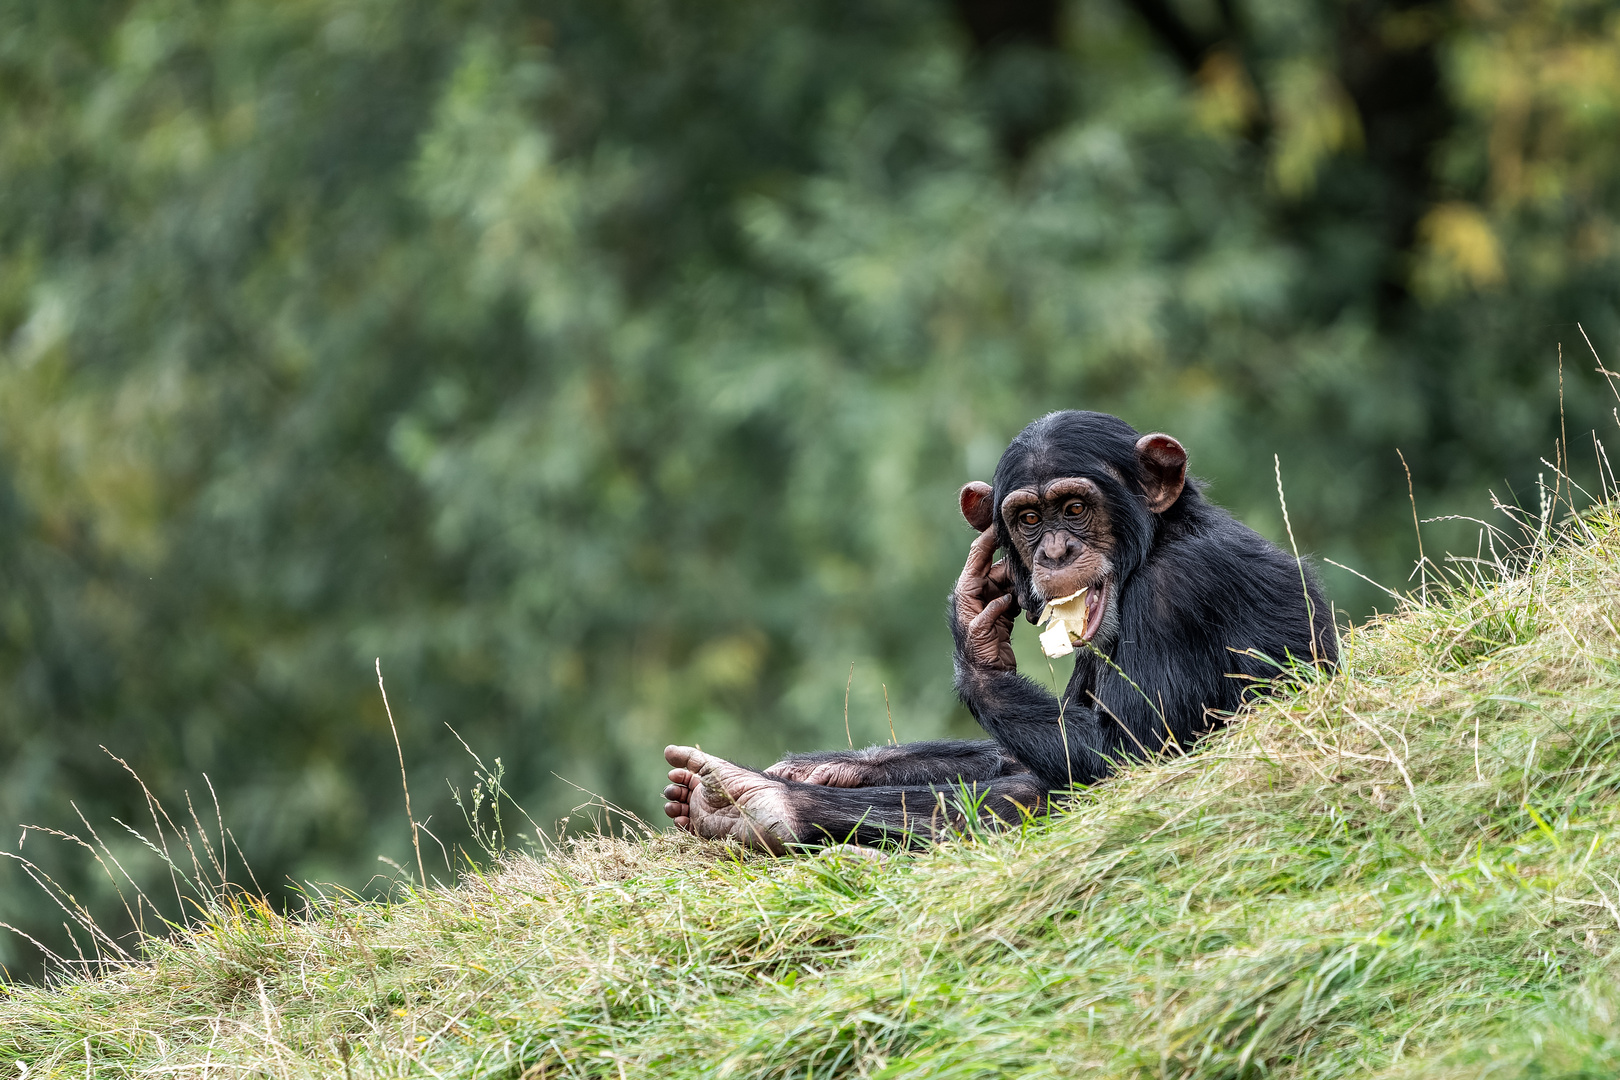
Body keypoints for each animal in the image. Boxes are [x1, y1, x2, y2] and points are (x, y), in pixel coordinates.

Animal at [664, 409, 1334, 848]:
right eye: (1029, 519)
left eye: (1075, 508)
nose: (1056, 551)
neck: (1159, 542)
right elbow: (1019, 751)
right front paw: (824, 765)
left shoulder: (1180, 591)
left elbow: (1131, 756)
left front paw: (975, 644)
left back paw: (760, 807)